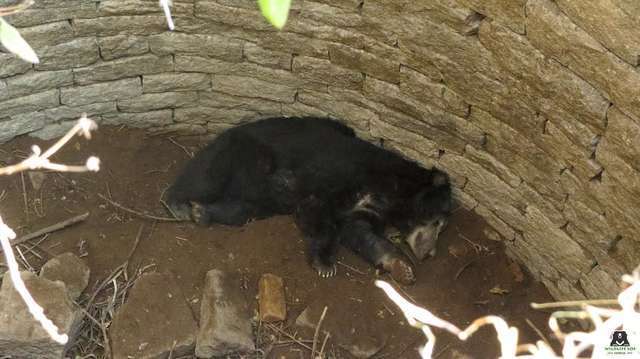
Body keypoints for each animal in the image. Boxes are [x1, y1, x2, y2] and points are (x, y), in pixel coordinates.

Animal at [168, 116, 452, 286]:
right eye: (438, 221)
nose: (430, 253)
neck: (391, 192)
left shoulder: (368, 208)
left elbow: (360, 232)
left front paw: (402, 268)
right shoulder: (341, 176)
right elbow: (320, 213)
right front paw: (325, 264)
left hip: (262, 195)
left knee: (243, 209)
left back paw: (203, 212)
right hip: (242, 152)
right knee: (207, 175)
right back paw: (178, 203)